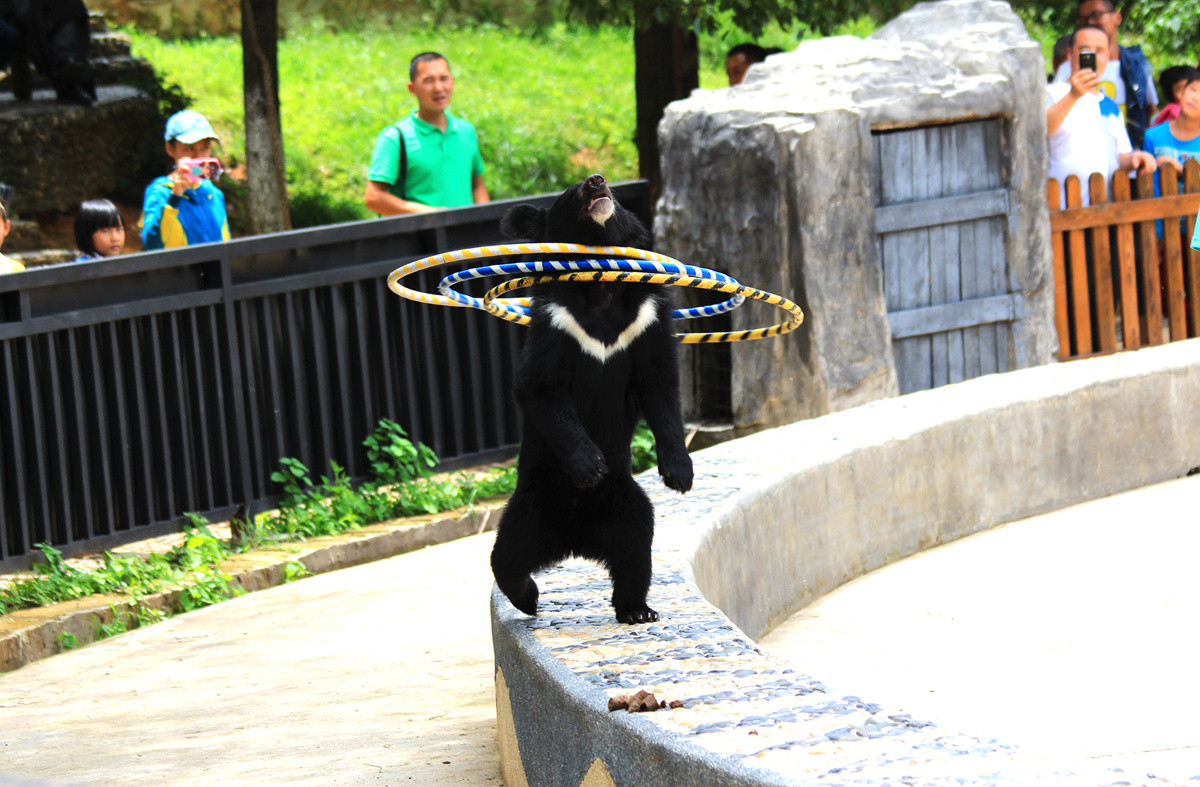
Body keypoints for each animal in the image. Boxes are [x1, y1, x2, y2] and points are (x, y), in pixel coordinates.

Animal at [490, 173, 694, 624]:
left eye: (612, 190)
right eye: (571, 193)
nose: (596, 181)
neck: (599, 285)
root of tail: (574, 542)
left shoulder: (649, 315)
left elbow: (660, 386)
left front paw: (679, 475)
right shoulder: (556, 320)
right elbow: (540, 388)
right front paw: (589, 466)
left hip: (625, 502)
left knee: (637, 544)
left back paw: (637, 610)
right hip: (532, 503)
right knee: (507, 555)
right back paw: (528, 597)